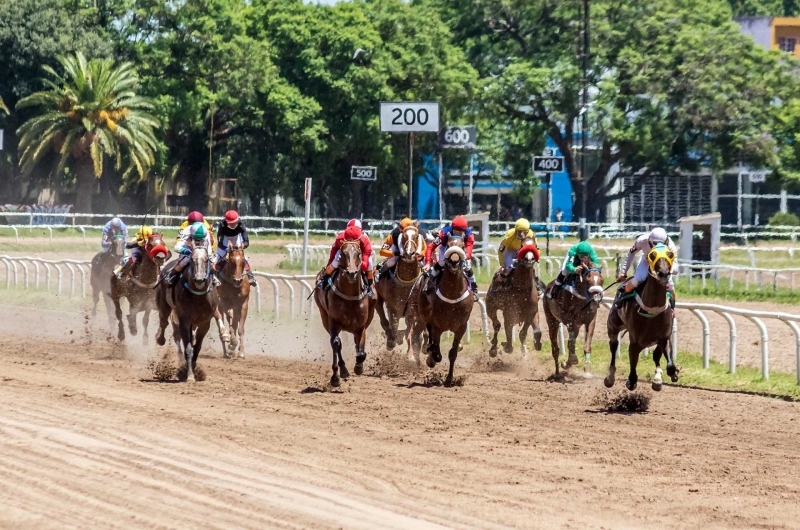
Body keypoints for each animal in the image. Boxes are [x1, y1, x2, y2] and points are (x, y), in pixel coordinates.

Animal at [155, 245, 223, 382]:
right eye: (192, 259)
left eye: (206, 260)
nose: (199, 279)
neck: (198, 296)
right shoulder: (184, 320)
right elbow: (189, 348)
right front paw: (189, 374)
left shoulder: (204, 323)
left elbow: (196, 348)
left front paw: (194, 370)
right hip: (164, 305)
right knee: (163, 321)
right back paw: (160, 339)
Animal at [314, 239, 376, 384]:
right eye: (343, 253)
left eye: (358, 254)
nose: (351, 273)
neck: (350, 296)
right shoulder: (333, 321)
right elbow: (336, 343)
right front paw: (338, 374)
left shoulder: (361, 326)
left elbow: (361, 351)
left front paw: (359, 366)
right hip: (324, 316)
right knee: (335, 344)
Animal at [376, 221, 424, 352]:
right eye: (404, 237)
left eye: (416, 236)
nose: (409, 254)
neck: (406, 280)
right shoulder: (393, 306)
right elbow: (393, 324)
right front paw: (392, 341)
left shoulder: (412, 307)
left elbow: (410, 331)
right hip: (377, 298)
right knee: (383, 319)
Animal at [416, 238, 472, 384]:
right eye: (449, 244)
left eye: (462, 246)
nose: (454, 261)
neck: (452, 294)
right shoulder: (437, 326)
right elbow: (436, 351)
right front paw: (431, 358)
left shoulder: (461, 327)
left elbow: (453, 353)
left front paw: (449, 379)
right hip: (424, 312)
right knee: (428, 332)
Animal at [608, 245, 680, 390]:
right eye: (652, 255)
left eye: (670, 254)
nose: (663, 274)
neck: (652, 311)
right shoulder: (635, 342)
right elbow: (633, 368)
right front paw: (631, 381)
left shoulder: (664, 338)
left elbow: (669, 365)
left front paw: (669, 375)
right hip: (613, 325)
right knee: (613, 345)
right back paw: (610, 377)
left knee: (656, 355)